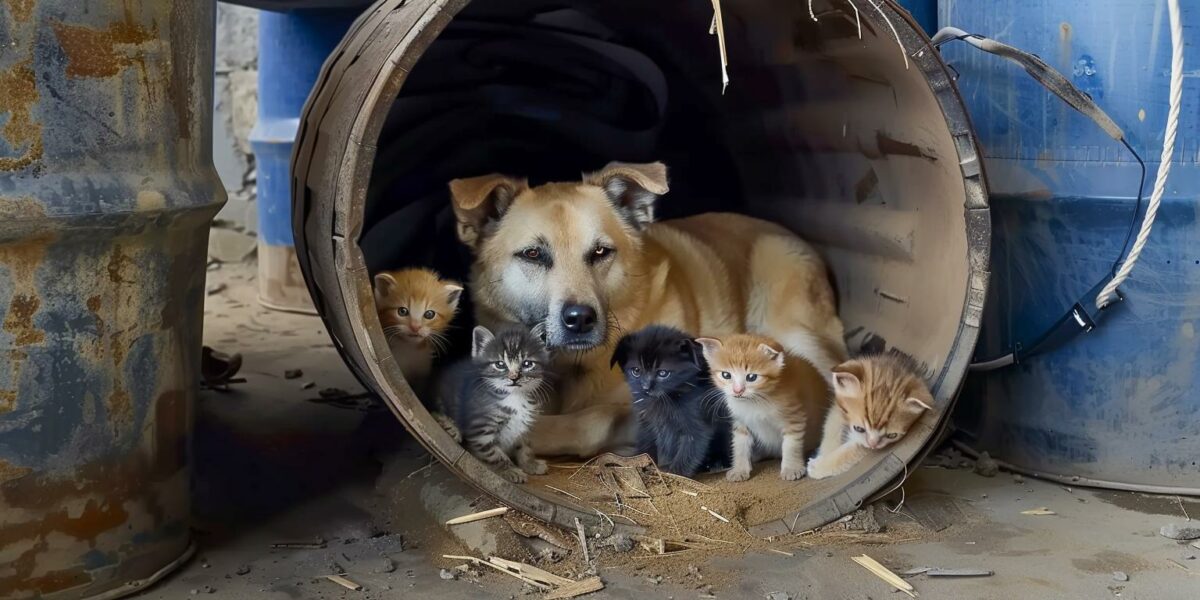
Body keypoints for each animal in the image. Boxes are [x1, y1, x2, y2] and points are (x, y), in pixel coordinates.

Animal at [441, 324, 552, 482]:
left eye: (527, 364)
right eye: (500, 364)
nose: (514, 377)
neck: (514, 397)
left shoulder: (523, 427)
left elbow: (524, 447)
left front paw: (531, 464)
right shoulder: (481, 430)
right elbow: (494, 454)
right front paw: (511, 471)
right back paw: (450, 426)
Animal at [448, 162, 844, 456]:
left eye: (600, 252)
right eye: (532, 254)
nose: (580, 319)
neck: (571, 367)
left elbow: (594, 420)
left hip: (792, 332)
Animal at [609, 326, 729, 475]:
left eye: (663, 373)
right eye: (636, 371)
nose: (646, 387)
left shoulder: (697, 424)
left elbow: (689, 450)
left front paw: (675, 472)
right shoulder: (646, 421)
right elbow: (646, 442)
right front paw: (639, 462)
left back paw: (716, 463)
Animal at [700, 333, 830, 482]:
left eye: (751, 377)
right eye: (726, 375)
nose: (737, 391)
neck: (755, 401)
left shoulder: (795, 416)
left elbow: (791, 445)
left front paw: (791, 468)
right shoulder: (740, 422)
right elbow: (740, 446)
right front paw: (739, 469)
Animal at [806, 352, 936, 480]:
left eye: (892, 435)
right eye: (859, 428)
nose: (873, 445)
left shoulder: (865, 446)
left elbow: (850, 451)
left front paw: (819, 466)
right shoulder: (838, 409)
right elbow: (831, 427)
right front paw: (825, 451)